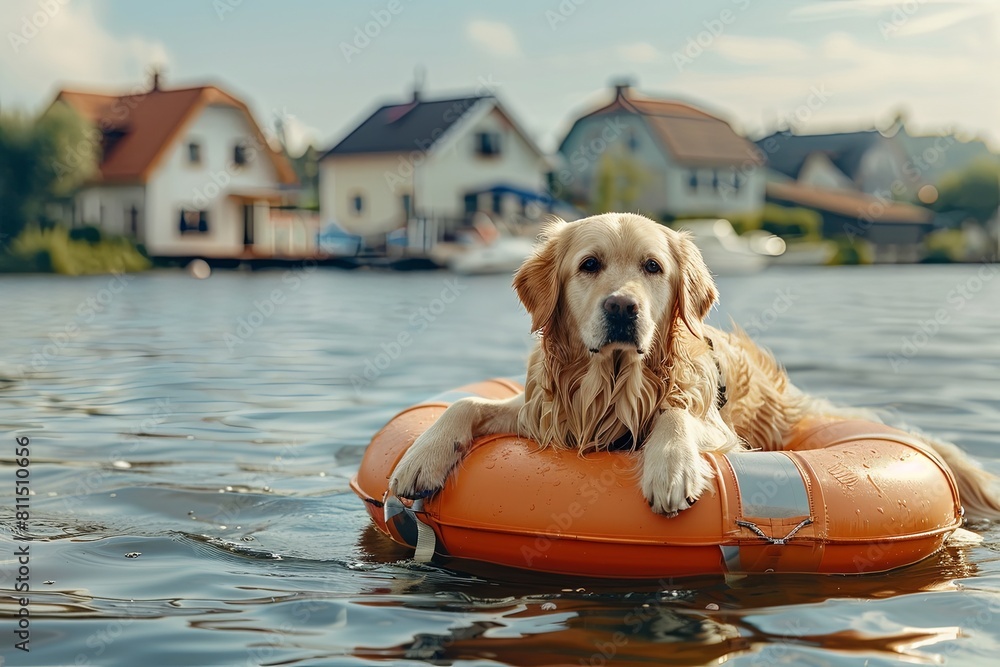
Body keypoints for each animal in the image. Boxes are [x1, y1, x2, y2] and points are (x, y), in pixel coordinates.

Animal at [388, 211, 1000, 520]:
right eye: (589, 265)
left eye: (653, 267)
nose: (623, 308)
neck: (613, 382)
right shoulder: (547, 414)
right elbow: (466, 401)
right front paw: (420, 459)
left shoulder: (719, 427)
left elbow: (675, 413)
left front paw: (671, 467)